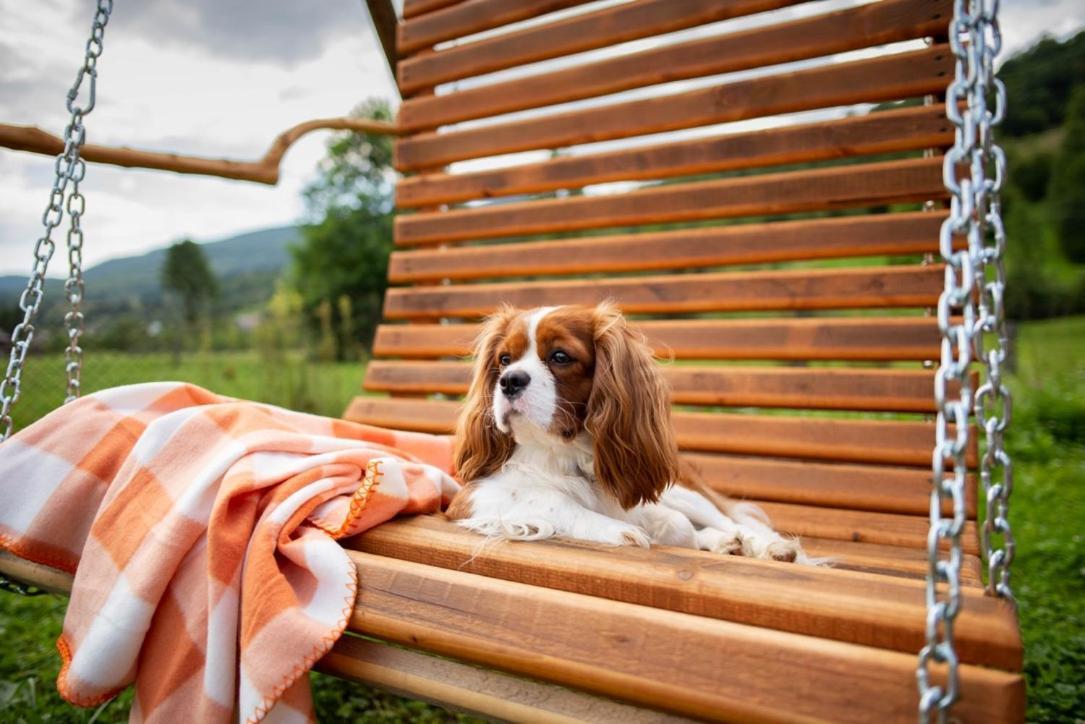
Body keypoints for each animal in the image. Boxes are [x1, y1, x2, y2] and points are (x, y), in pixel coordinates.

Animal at [444, 303, 811, 564]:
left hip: (681, 491)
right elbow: (549, 498)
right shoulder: (470, 497)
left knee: (731, 522)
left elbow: (677, 524)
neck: (562, 452)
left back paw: (770, 547)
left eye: (560, 357)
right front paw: (619, 530)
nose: (509, 381)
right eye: (504, 359)